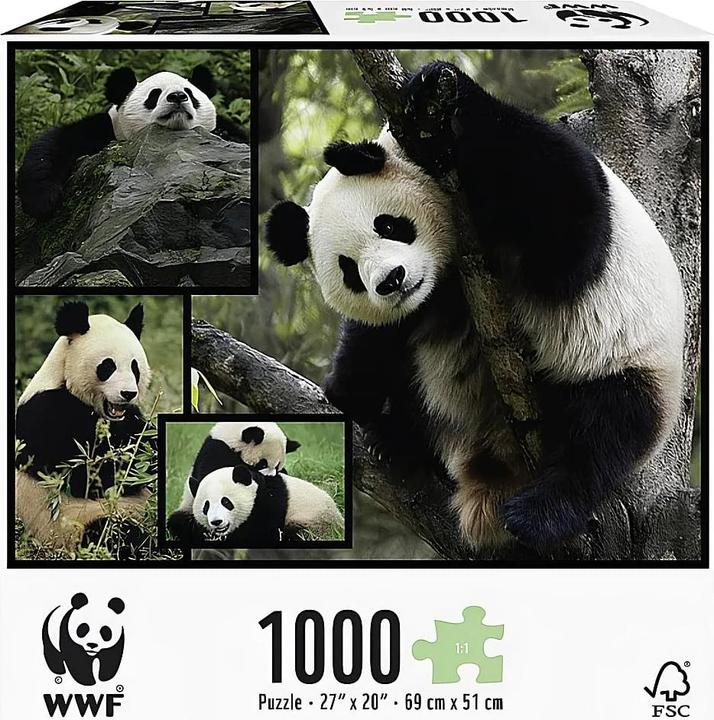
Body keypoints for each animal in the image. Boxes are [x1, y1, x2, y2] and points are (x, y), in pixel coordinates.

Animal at [16, 300, 151, 500]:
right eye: (108, 366)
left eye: (135, 367)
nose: (128, 393)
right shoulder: (45, 412)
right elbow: (79, 472)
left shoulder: (130, 418)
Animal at [17, 65, 217, 219]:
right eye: (154, 95)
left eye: (189, 93)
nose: (177, 96)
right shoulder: (105, 129)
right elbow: (54, 144)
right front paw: (43, 202)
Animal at [169, 465, 344, 547]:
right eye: (206, 507)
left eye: (226, 502)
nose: (217, 522)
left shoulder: (268, 504)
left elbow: (259, 533)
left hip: (315, 522)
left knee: (297, 534)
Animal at [265, 60, 685, 553]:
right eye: (348, 270)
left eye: (388, 225)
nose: (391, 281)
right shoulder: (422, 301)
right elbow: (376, 340)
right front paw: (350, 392)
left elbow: (566, 235)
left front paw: (435, 88)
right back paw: (401, 440)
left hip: (625, 359)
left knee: (605, 430)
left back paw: (540, 512)